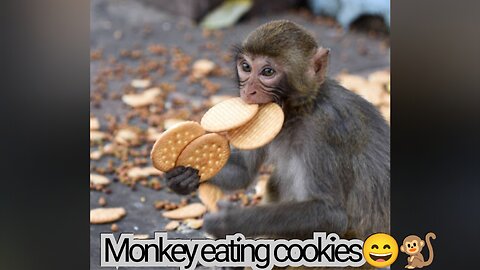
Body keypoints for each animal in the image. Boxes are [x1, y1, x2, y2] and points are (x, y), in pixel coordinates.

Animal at [165, 21, 390, 244]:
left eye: (268, 72)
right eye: (246, 67)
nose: (248, 92)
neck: (300, 111)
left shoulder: (326, 130)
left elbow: (331, 214)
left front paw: (231, 221)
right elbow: (243, 171)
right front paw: (184, 176)